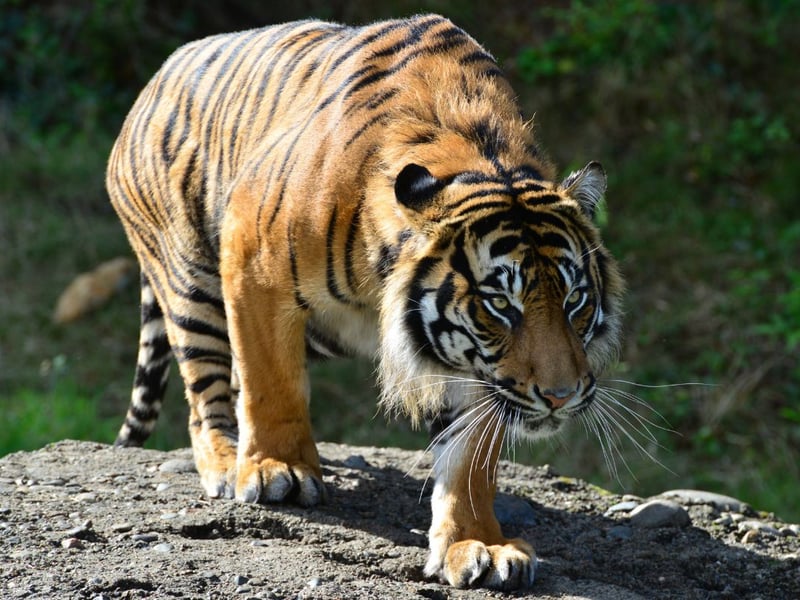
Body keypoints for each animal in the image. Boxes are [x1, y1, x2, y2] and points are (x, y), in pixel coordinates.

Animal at [108, 14, 623, 591]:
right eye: (499, 305)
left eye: (575, 299)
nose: (561, 396)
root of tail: (157, 77)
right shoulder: (251, 264)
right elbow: (271, 382)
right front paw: (277, 470)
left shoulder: (475, 368)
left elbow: (469, 460)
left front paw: (480, 545)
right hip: (190, 281)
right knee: (208, 396)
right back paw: (228, 460)